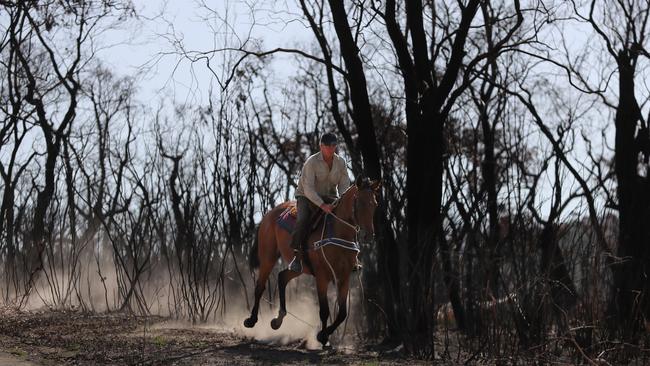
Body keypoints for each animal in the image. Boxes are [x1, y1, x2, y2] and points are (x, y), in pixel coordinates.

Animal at [244, 179, 380, 344]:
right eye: (359, 203)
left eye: (375, 204)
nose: (368, 235)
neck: (337, 233)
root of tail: (269, 214)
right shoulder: (322, 276)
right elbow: (324, 310)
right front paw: (322, 336)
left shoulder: (344, 276)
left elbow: (342, 313)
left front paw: (325, 334)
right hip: (268, 257)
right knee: (260, 286)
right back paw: (251, 320)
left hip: (300, 267)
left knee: (282, 277)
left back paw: (277, 320)